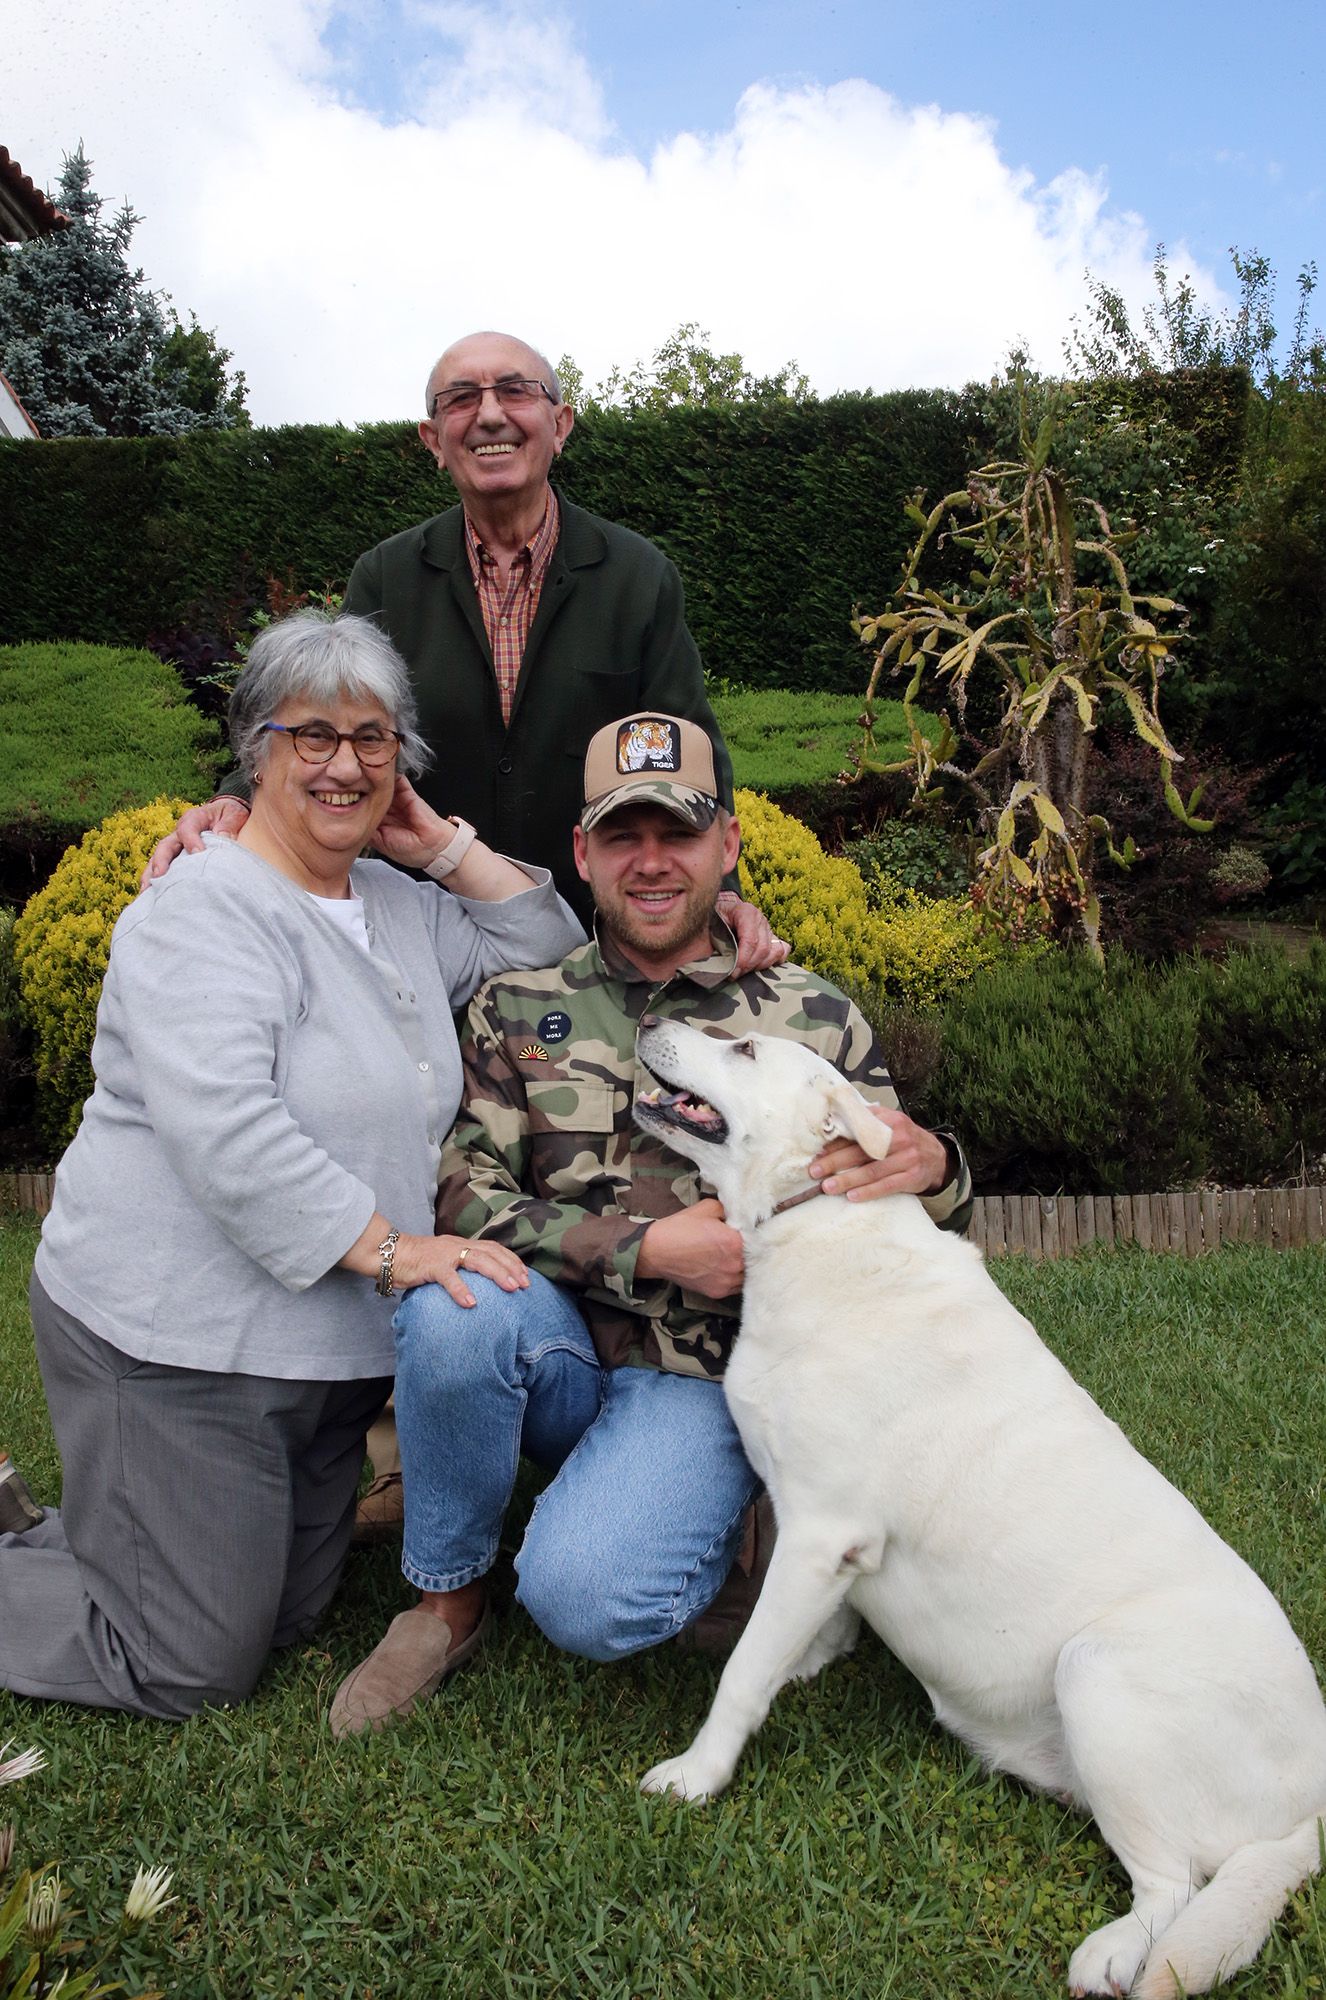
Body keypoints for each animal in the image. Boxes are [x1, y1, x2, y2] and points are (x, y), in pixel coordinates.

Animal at [632, 1024, 1326, 1992]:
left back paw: (1113, 1953)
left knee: (1175, 1886)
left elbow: (740, 1673)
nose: (652, 1021)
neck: (815, 1223)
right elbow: (800, 1637)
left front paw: (699, 1775)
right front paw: (805, 1665)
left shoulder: (819, 1535)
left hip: (1098, 1670)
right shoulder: (824, 1543)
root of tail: (1311, 1814)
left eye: (742, 1047)